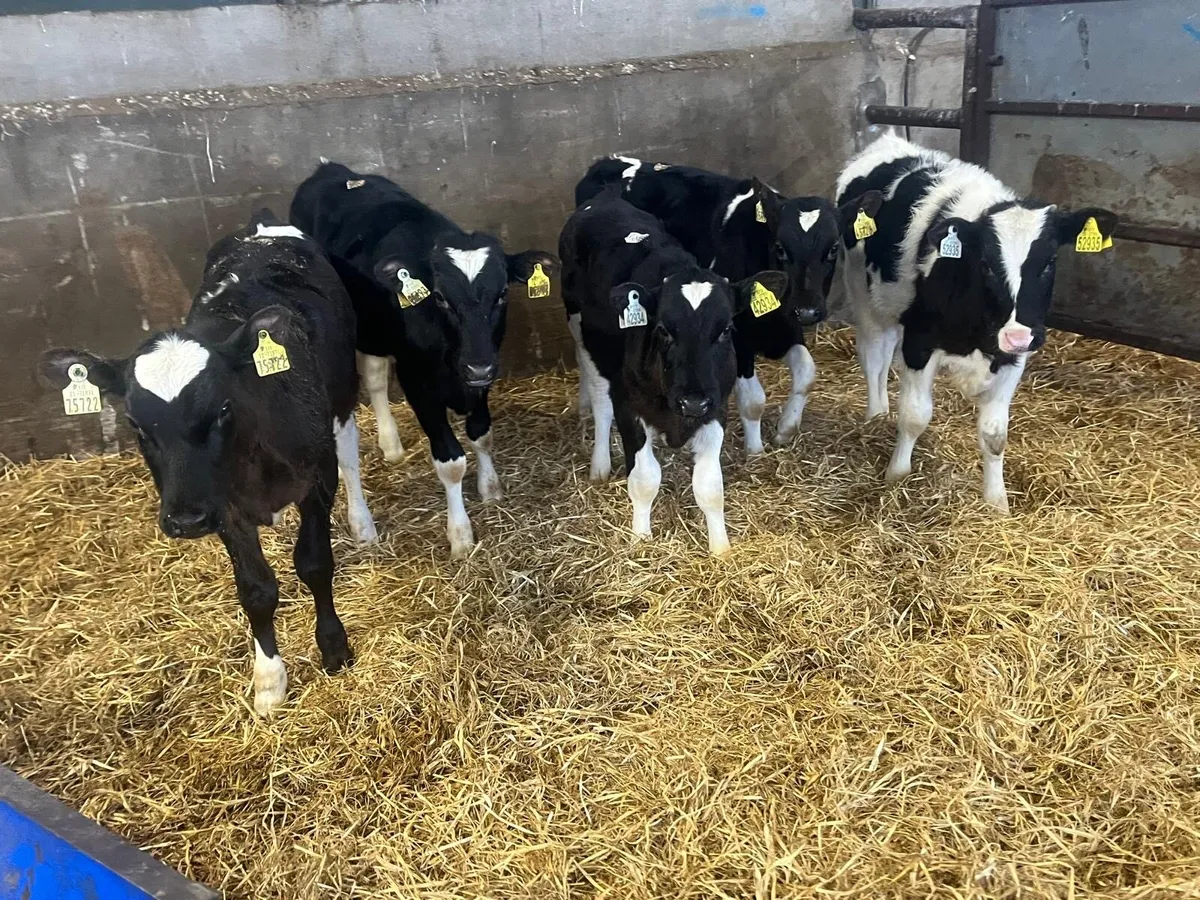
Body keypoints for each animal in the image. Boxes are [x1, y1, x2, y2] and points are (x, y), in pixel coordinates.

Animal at [39, 211, 376, 715]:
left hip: (342, 394)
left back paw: (362, 522)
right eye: (135, 423)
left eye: (222, 408)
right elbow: (256, 590)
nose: (186, 520)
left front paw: (334, 648)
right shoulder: (225, 506)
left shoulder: (316, 476)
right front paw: (269, 682)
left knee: (351, 453)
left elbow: (314, 562)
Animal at [289, 162, 557, 559]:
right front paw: (460, 534)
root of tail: (331, 169)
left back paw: (391, 446)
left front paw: (490, 488)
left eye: (501, 295)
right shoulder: (419, 384)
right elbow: (451, 462)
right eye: (442, 298)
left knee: (375, 376)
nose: (477, 366)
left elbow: (482, 435)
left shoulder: (482, 377)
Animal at [560, 188, 787, 555]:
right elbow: (644, 479)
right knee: (599, 399)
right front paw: (640, 539)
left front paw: (720, 548)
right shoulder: (629, 408)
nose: (692, 402)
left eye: (726, 329)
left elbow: (710, 486)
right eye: (663, 329)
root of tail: (605, 198)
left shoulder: (715, 409)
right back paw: (600, 464)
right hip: (582, 333)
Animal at [574, 155, 882, 455]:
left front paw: (786, 428)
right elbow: (754, 400)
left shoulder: (786, 327)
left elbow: (807, 372)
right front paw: (754, 450)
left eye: (833, 248)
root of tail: (605, 162)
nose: (808, 311)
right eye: (780, 247)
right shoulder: (739, 337)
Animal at [835, 133, 1117, 512]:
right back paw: (876, 413)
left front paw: (996, 502)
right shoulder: (920, 341)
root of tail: (889, 142)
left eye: (1049, 262)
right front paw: (897, 476)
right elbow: (914, 416)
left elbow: (995, 435)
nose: (1017, 336)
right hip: (863, 296)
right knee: (873, 357)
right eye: (986, 263)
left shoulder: (1013, 356)